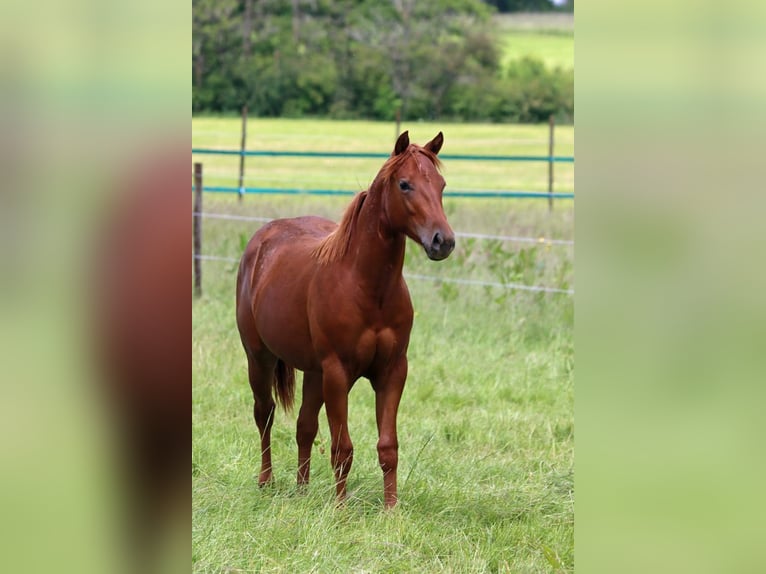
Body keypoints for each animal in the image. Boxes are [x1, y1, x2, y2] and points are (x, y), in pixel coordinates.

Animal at [237, 132, 452, 508]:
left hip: (313, 372)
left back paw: (302, 490)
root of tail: (261, 241)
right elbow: (342, 448)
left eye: (441, 185)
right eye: (405, 184)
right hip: (259, 358)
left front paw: (391, 509)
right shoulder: (338, 373)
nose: (443, 241)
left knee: (305, 426)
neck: (367, 286)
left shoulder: (392, 371)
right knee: (265, 414)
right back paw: (267, 481)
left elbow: (388, 447)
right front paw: (340, 509)